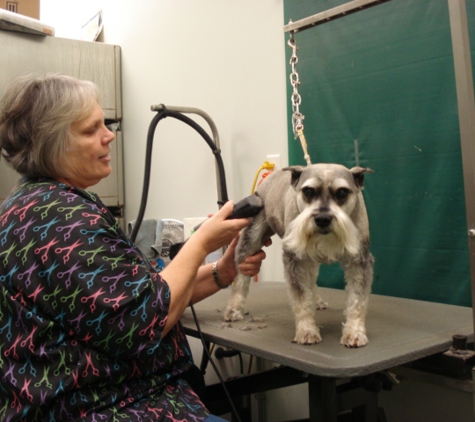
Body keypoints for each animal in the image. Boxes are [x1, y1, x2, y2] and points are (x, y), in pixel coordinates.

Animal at [224, 163, 376, 348]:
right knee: (240, 278)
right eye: (308, 191)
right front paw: (307, 331)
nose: (322, 219)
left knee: (311, 280)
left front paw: (354, 332)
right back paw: (233, 309)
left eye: (342, 192)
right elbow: (301, 299)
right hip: (251, 239)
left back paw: (316, 300)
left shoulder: (359, 262)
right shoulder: (295, 260)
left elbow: (357, 301)